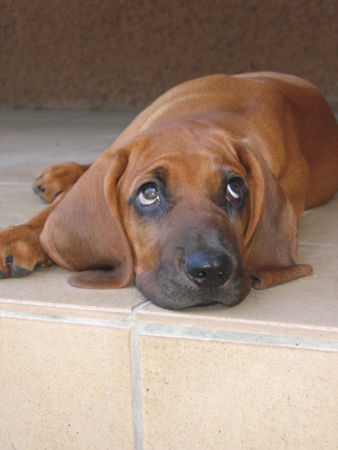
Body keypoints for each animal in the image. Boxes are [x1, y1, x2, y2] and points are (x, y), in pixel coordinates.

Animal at [0, 73, 338, 310]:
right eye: (149, 193)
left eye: (235, 189)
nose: (211, 271)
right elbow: (50, 214)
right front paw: (17, 237)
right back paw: (61, 174)